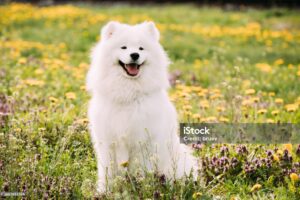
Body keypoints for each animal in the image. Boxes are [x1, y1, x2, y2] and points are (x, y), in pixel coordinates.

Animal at [86, 20, 197, 192]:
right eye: (124, 47)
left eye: (141, 48)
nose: (135, 55)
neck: (128, 94)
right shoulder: (107, 143)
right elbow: (107, 172)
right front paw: (104, 192)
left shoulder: (142, 143)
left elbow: (141, 171)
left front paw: (142, 189)